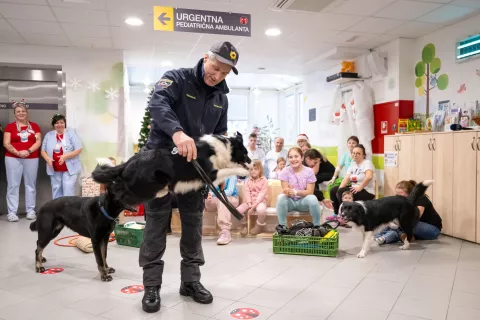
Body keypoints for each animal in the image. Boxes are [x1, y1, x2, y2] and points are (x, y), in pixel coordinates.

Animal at [92, 132, 253, 205]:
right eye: (245, 154)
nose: (252, 162)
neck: (224, 148)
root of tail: (128, 163)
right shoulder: (209, 174)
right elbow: (228, 170)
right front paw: (244, 171)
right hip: (147, 185)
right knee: (119, 191)